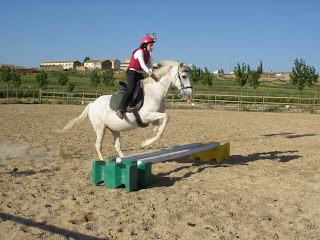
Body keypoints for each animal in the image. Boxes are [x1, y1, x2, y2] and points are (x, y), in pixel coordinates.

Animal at [55, 61, 192, 160]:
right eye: (183, 76)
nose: (190, 95)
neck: (155, 92)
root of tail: (92, 104)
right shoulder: (147, 116)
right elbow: (166, 118)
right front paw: (145, 143)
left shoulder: (154, 118)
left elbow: (159, 128)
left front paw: (146, 141)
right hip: (100, 129)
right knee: (98, 145)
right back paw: (103, 162)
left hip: (114, 129)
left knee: (117, 146)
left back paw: (124, 159)